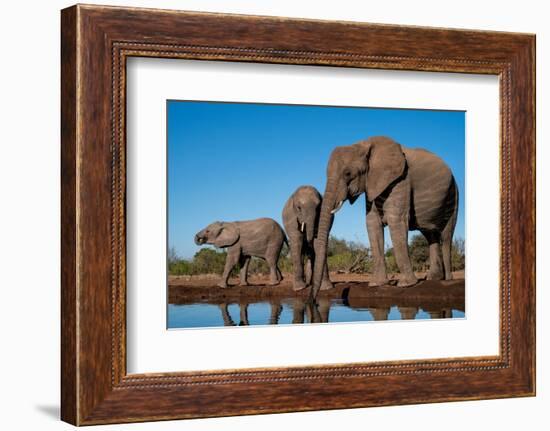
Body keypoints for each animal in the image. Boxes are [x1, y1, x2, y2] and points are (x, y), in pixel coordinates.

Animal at [312, 137, 460, 298]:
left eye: (347, 173)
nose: (313, 298)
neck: (364, 144)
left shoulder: (402, 179)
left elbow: (396, 221)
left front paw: (406, 284)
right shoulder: (372, 182)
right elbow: (372, 223)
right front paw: (377, 284)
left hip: (453, 193)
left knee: (446, 235)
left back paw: (447, 279)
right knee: (430, 235)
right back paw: (434, 278)